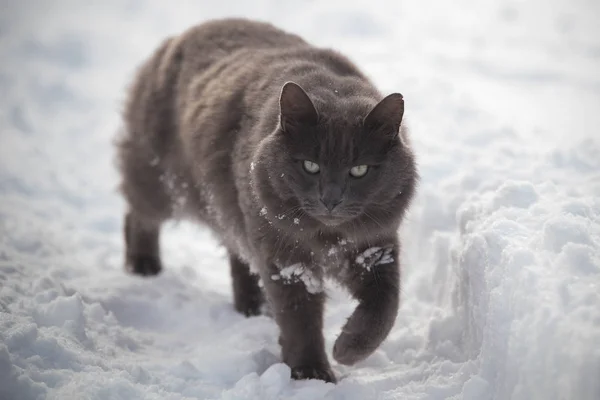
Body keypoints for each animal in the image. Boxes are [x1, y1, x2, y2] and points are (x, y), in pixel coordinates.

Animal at [116, 17, 418, 382]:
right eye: (310, 165)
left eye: (359, 170)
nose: (330, 199)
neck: (327, 237)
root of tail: (181, 35)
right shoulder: (286, 258)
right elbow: (300, 320)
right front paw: (312, 372)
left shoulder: (375, 249)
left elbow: (384, 308)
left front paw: (347, 349)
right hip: (162, 180)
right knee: (137, 214)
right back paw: (143, 266)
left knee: (237, 253)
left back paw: (253, 306)